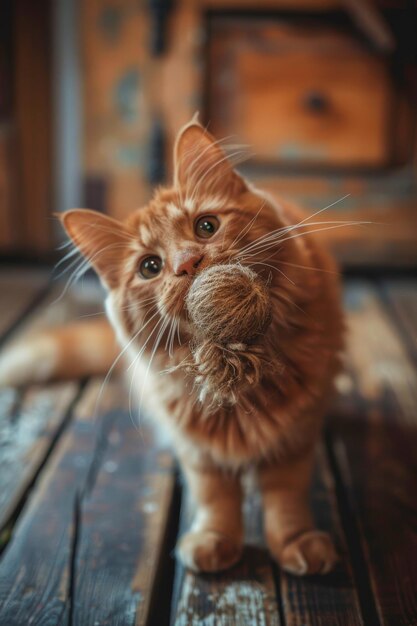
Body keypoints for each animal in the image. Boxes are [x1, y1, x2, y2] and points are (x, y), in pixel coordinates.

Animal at [0, 119, 344, 572]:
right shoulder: (197, 447)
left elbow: (285, 498)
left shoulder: (294, 437)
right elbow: (215, 497)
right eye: (150, 267)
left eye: (206, 226)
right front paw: (215, 539)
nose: (187, 264)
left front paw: (297, 541)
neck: (237, 375)